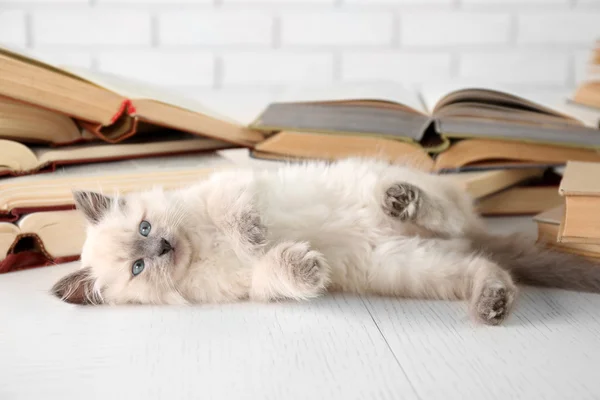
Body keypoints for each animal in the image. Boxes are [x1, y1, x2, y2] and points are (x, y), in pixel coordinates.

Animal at [50, 157, 600, 324]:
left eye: (145, 229)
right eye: (138, 268)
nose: (162, 247)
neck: (199, 246)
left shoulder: (234, 185)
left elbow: (236, 215)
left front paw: (252, 233)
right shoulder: (251, 287)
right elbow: (274, 270)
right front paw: (308, 268)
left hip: (399, 196)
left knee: (446, 214)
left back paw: (401, 200)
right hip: (413, 265)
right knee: (485, 265)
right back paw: (492, 302)